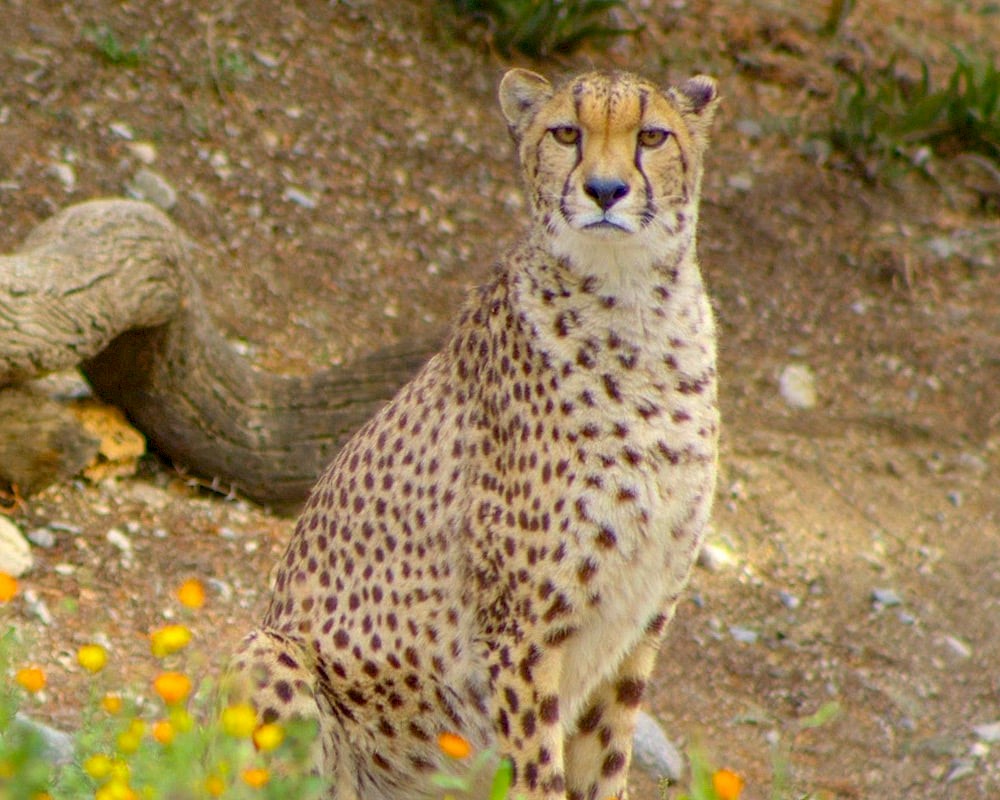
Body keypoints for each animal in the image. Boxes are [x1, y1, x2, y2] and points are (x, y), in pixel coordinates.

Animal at [229, 70, 720, 800]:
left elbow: (605, 765)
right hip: (268, 650)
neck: (634, 306)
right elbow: (538, 773)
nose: (605, 190)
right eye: (566, 133)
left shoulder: (641, 622)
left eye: (652, 136)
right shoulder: (521, 634)